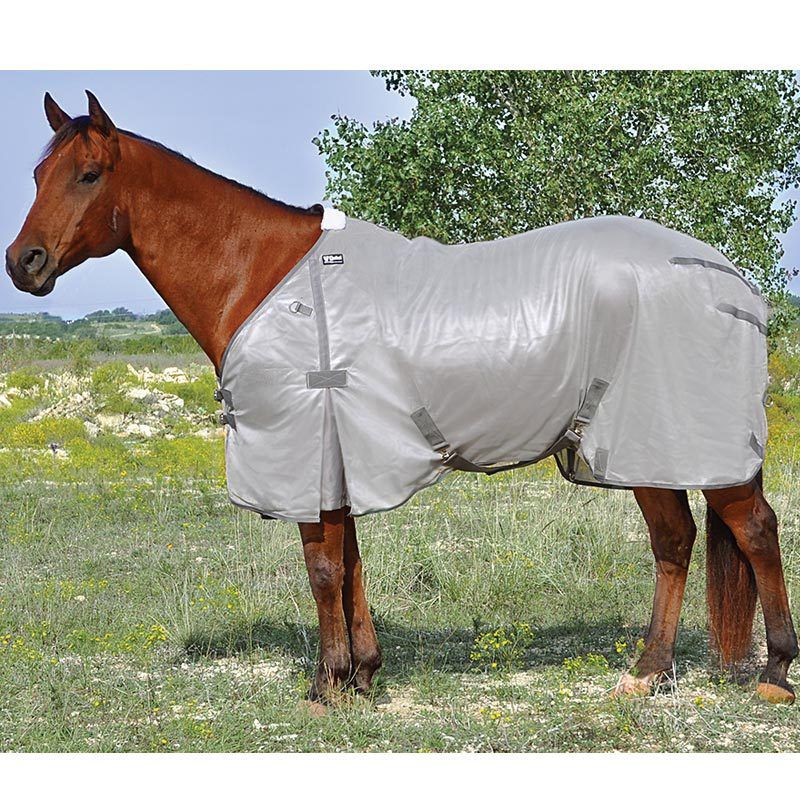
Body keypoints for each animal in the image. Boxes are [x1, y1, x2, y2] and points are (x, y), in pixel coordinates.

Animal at [5, 91, 798, 705]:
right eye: (38, 172)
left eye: (88, 174)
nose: (23, 263)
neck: (267, 277)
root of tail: (725, 275)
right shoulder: (338, 455)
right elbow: (350, 561)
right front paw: (361, 675)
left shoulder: (304, 452)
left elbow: (322, 567)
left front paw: (326, 686)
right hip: (638, 445)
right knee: (677, 541)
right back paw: (649, 673)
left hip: (675, 441)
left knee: (753, 530)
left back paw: (773, 673)